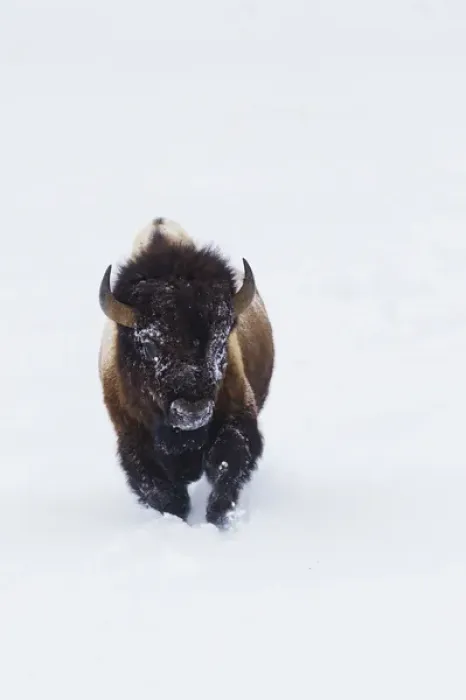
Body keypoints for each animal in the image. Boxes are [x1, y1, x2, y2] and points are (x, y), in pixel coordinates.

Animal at [98, 217, 274, 528]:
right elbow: (160, 490)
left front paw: (218, 517)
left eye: (222, 338)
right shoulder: (133, 439)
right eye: (149, 344)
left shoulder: (238, 415)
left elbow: (227, 463)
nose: (193, 410)